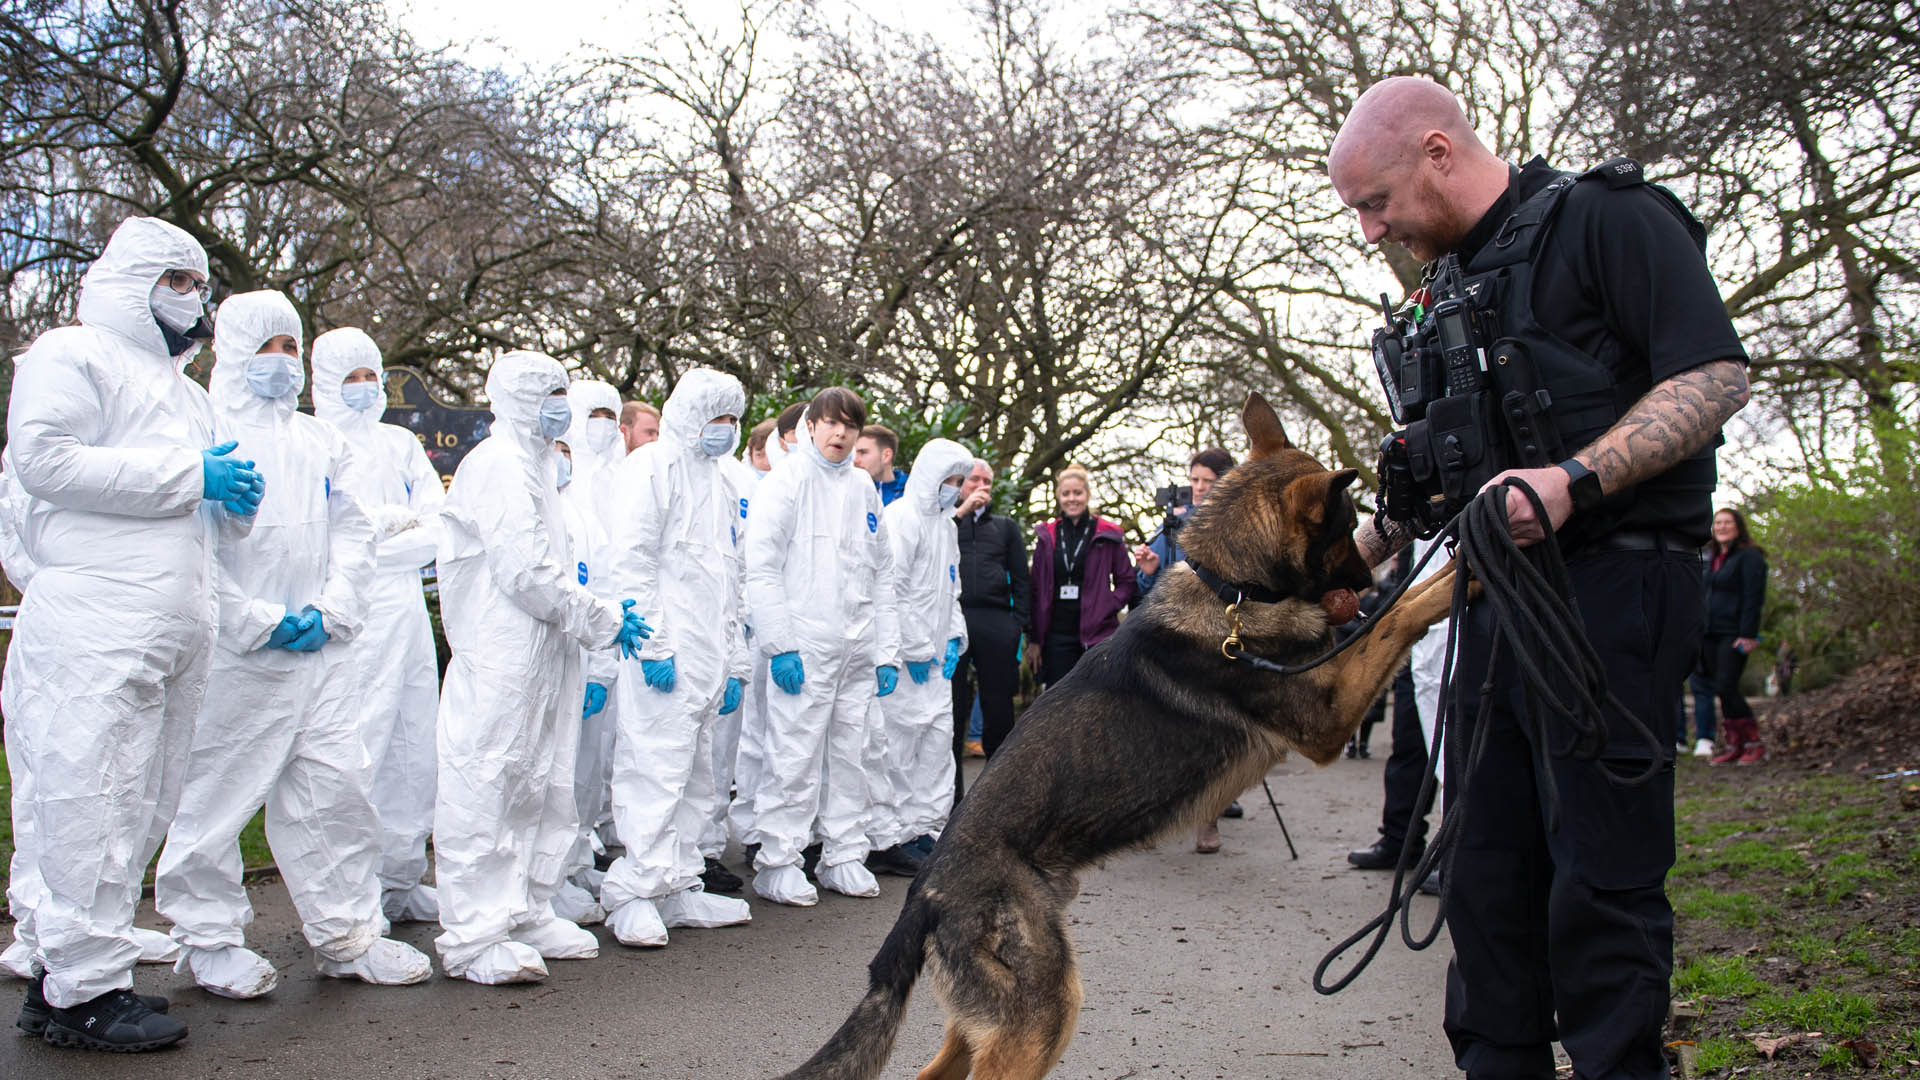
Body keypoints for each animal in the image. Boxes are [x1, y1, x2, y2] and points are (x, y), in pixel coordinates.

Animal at [771, 393, 1459, 1076]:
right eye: (1345, 528)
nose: (1370, 576)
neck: (1231, 589)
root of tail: (924, 898)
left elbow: (1402, 608)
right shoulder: (1330, 715)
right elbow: (1402, 615)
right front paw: (1464, 562)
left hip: (987, 1021)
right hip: (1041, 1015)